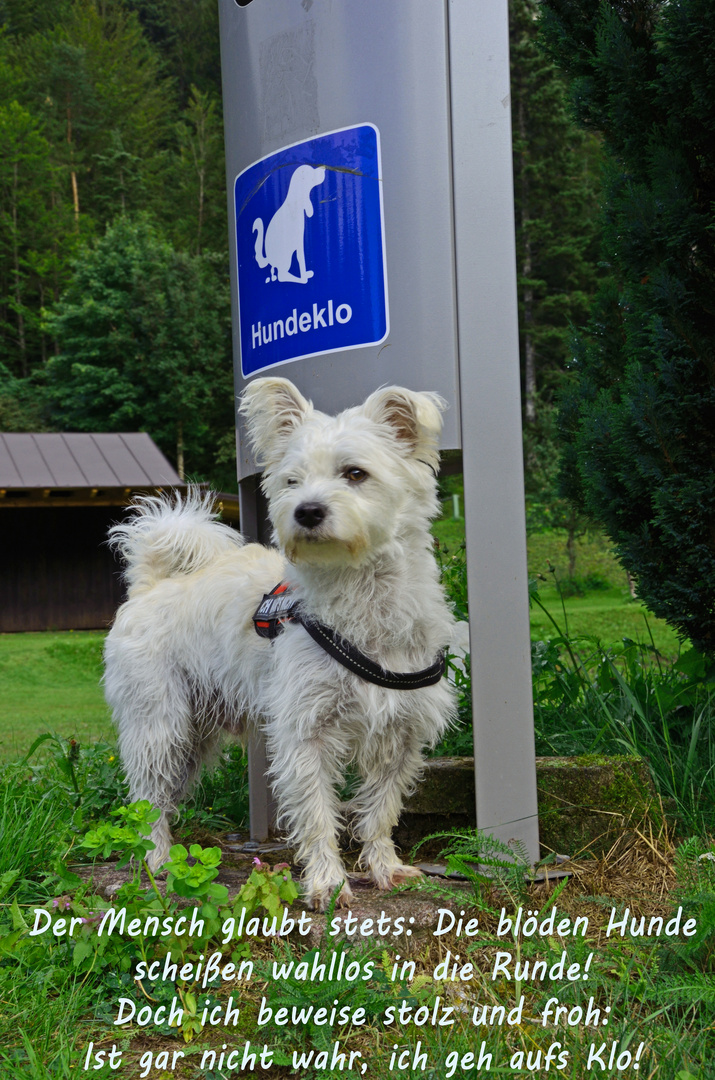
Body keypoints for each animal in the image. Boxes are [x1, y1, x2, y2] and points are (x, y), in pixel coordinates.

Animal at [103, 375, 455, 907]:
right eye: (291, 481)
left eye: (355, 473)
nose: (306, 511)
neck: (361, 603)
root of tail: (150, 584)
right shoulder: (305, 733)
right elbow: (317, 814)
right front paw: (328, 883)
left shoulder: (400, 734)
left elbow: (380, 810)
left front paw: (385, 868)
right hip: (160, 730)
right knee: (149, 802)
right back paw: (156, 861)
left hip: (194, 739)